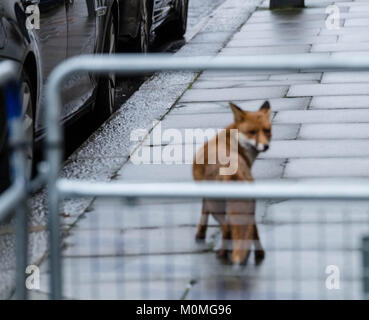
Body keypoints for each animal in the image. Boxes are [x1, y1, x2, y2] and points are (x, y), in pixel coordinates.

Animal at [193, 100, 270, 264]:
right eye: (252, 132)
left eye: (267, 131)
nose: (266, 146)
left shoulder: (205, 196)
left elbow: (203, 213)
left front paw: (200, 234)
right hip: (249, 204)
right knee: (252, 229)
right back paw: (256, 255)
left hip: (218, 207)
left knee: (227, 228)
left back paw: (224, 254)